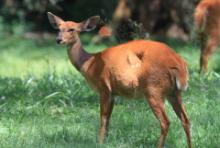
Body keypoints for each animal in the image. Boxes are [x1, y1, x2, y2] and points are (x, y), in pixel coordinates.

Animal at [47, 11, 191, 148]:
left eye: (72, 29)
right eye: (58, 28)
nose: (58, 40)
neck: (89, 63)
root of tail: (178, 63)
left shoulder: (104, 87)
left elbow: (103, 117)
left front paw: (99, 142)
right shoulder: (113, 93)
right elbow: (108, 119)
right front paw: (105, 141)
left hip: (153, 88)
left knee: (165, 121)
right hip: (174, 92)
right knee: (186, 119)